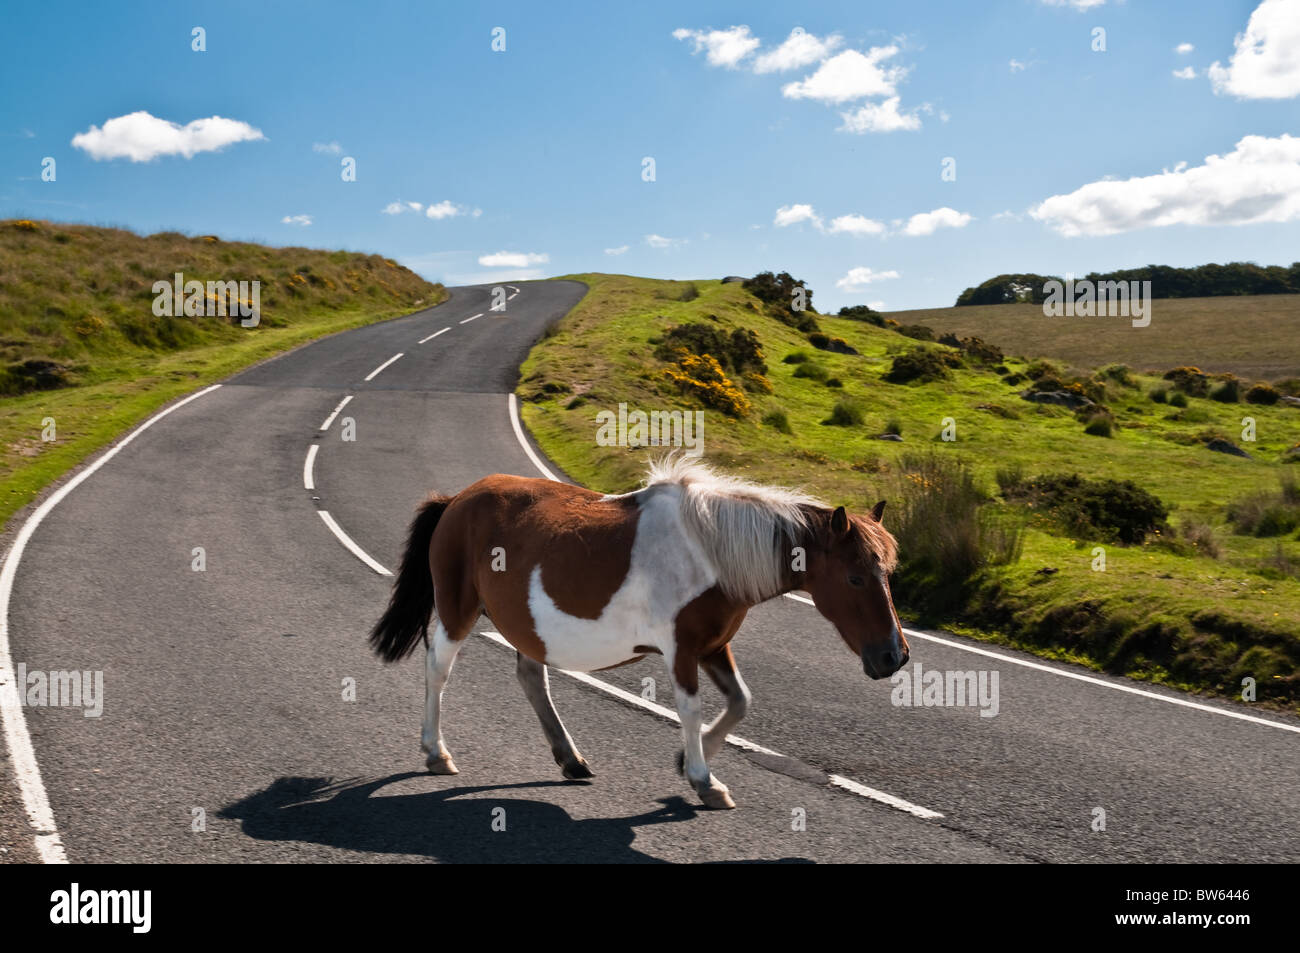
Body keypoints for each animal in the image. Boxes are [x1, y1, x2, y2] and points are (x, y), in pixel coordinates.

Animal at [369, 456, 908, 810]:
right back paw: (436, 752)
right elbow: (691, 710)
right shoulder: (682, 650)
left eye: (888, 572)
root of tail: (456, 500)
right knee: (438, 670)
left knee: (531, 678)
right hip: (458, 610)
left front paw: (689, 760)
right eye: (855, 577)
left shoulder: (713, 645)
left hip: (527, 624)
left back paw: (570, 759)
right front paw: (704, 779)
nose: (894, 657)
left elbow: (740, 702)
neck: (710, 551)